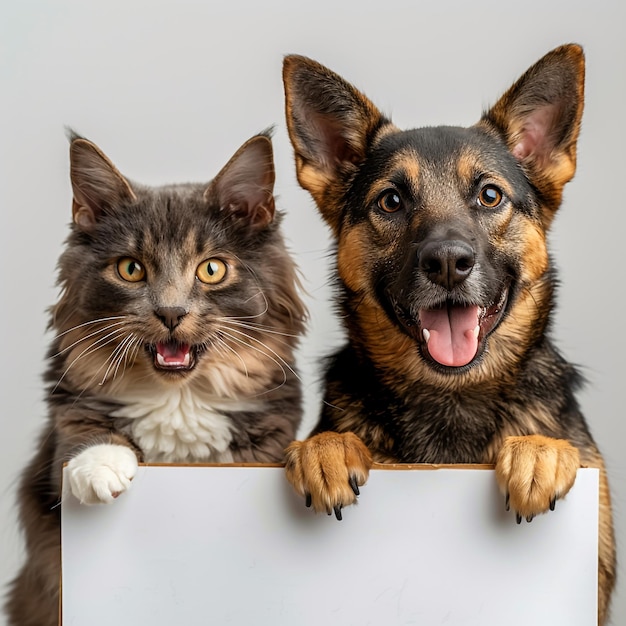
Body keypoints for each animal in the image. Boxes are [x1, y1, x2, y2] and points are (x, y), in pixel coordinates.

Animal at [4, 129, 308, 620]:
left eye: (211, 269)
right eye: (131, 269)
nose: (170, 312)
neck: (179, 398)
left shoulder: (268, 442)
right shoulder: (55, 451)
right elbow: (84, 436)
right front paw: (100, 468)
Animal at [282, 45, 616, 624]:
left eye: (489, 195)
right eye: (391, 202)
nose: (446, 263)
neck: (451, 393)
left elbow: (550, 446)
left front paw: (540, 451)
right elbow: (326, 441)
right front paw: (326, 449)